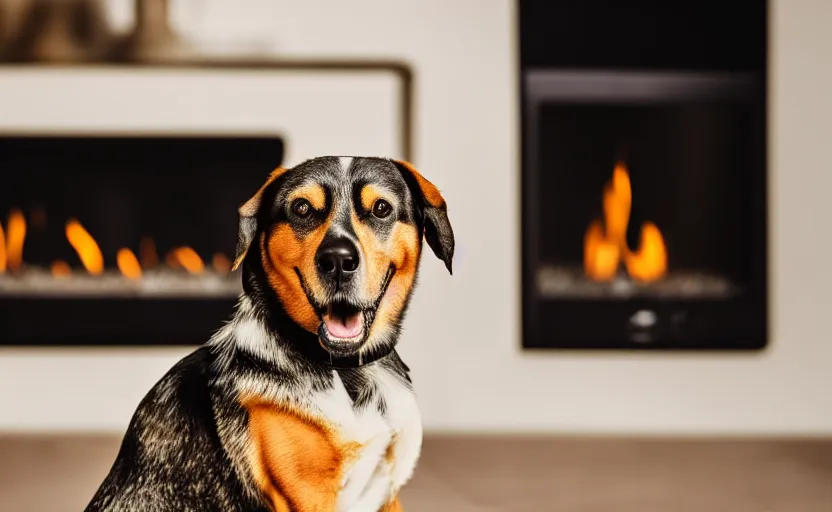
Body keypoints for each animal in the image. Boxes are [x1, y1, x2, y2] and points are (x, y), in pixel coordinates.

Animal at [84, 157, 456, 512]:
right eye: (302, 208)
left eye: (380, 208)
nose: (338, 259)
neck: (350, 372)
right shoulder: (309, 496)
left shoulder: (388, 491)